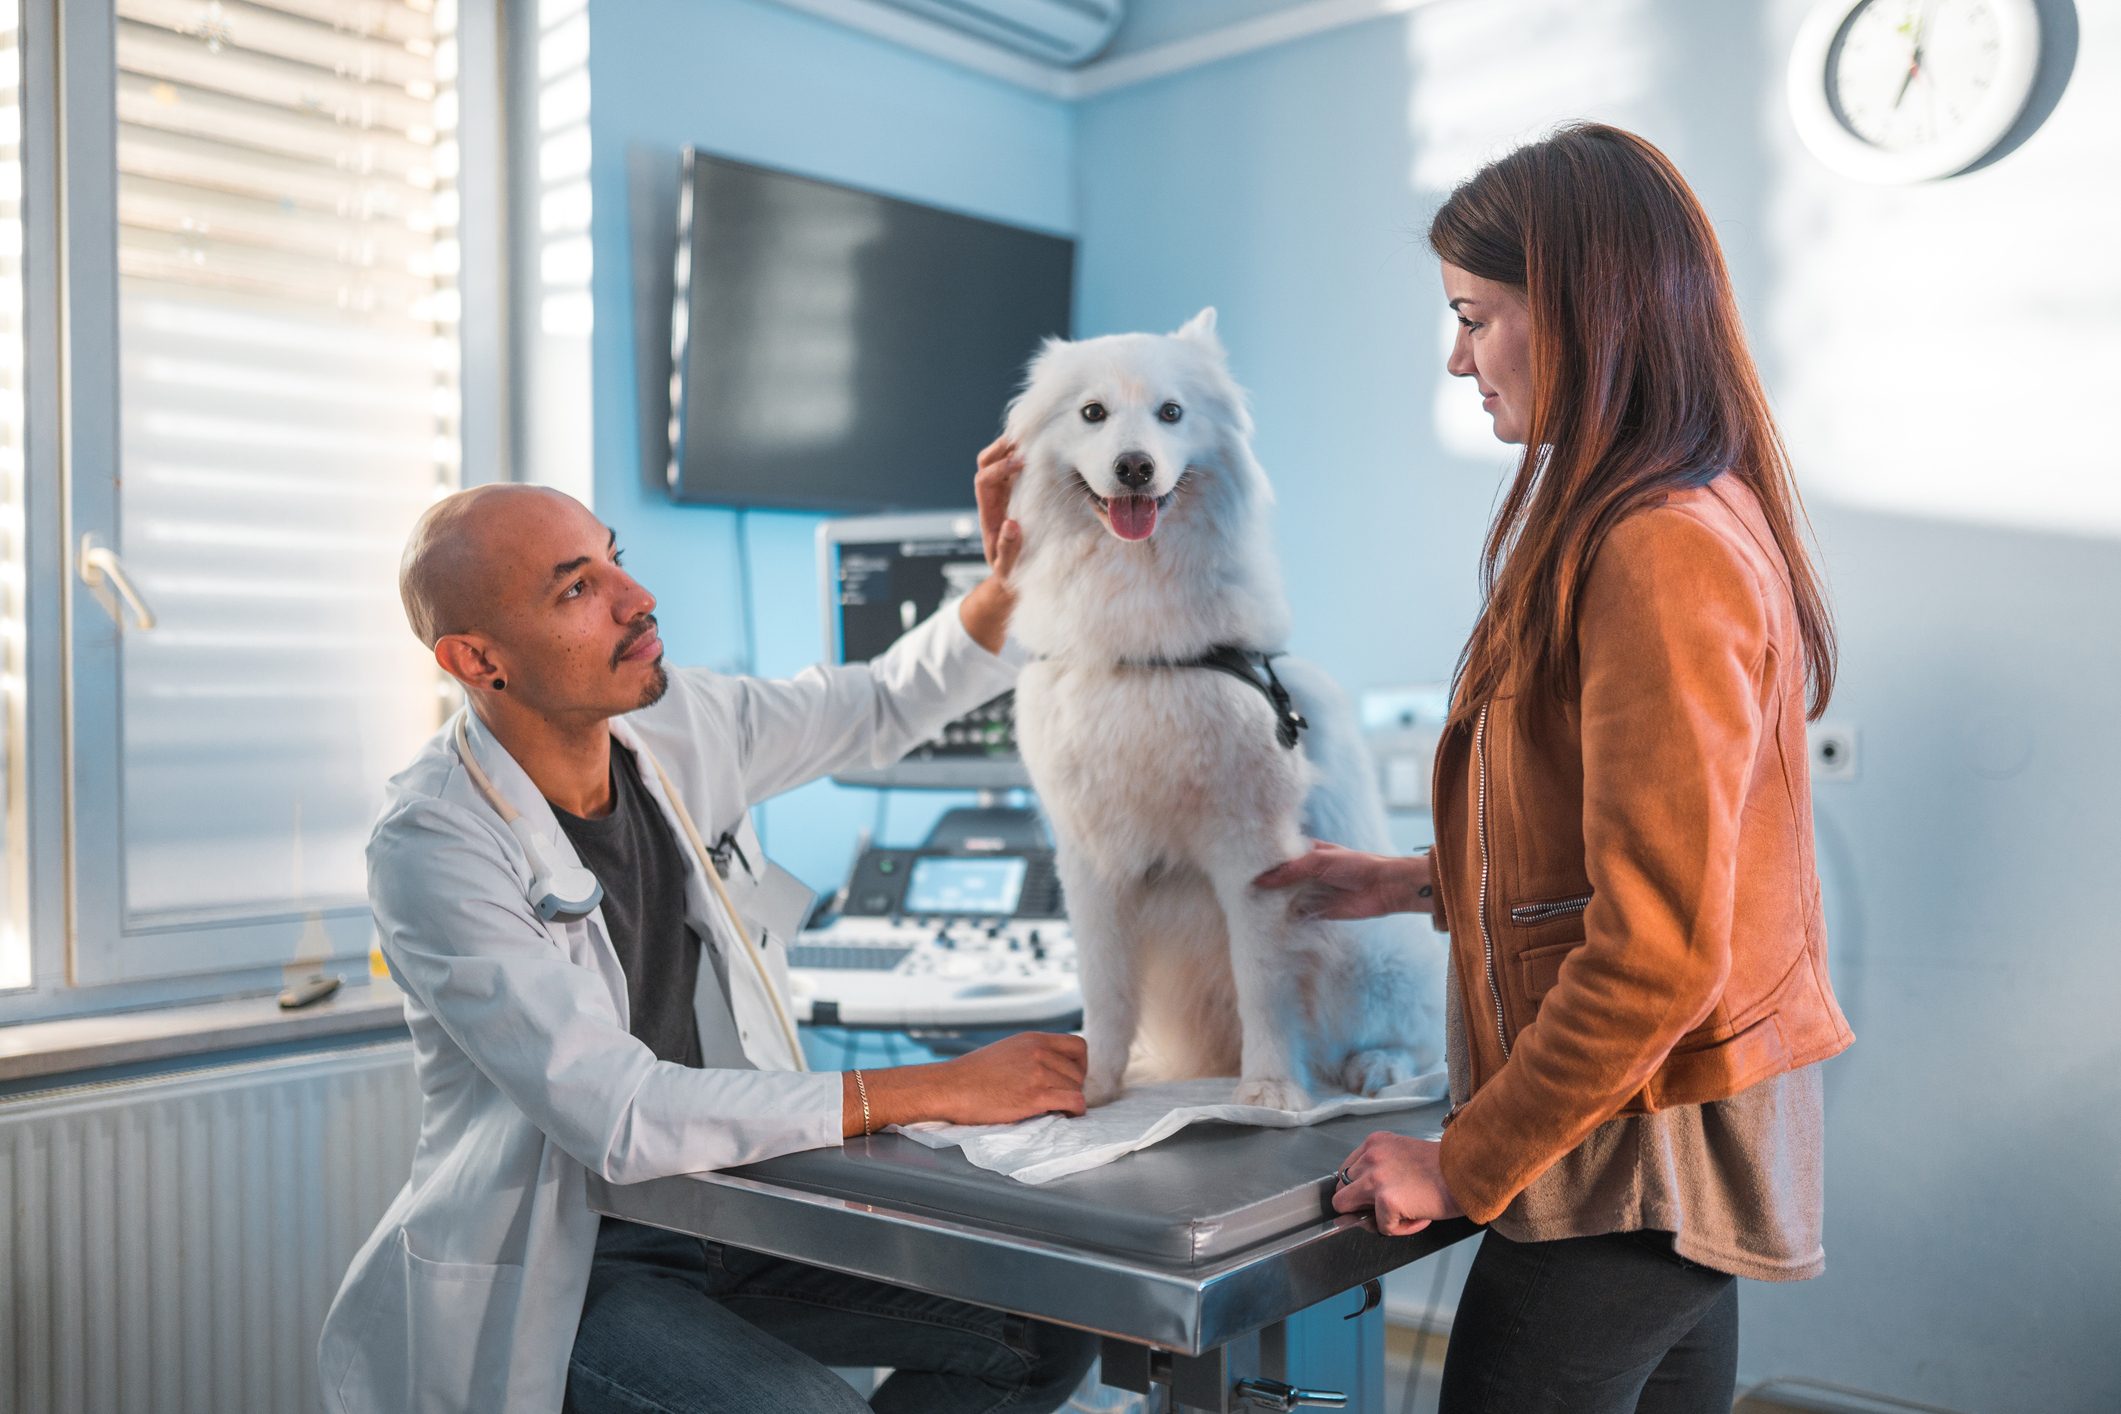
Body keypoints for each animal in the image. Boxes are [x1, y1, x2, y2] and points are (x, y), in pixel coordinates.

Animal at [1005, 307, 1442, 1102]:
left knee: (1419, 1040)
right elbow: (1104, 989)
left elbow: (1261, 984)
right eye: (1092, 413)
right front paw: (1093, 1083)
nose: (1135, 467)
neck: (1140, 649)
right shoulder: (1090, 863)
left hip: (1368, 947)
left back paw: (1375, 1067)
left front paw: (1270, 1093)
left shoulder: (1254, 856)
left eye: (1171, 413)